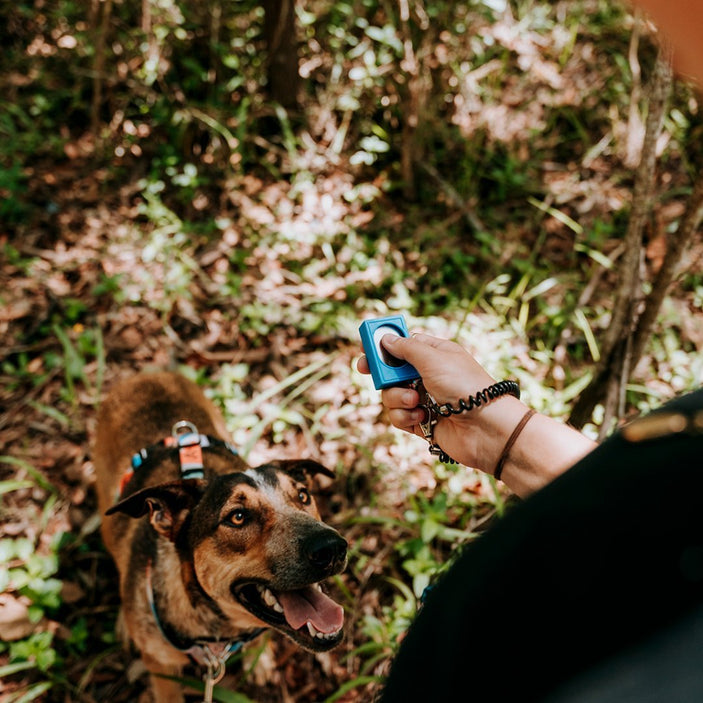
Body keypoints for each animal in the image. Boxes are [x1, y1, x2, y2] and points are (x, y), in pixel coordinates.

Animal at [93, 372, 350, 700]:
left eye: (303, 495)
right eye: (237, 517)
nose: (332, 548)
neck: (221, 633)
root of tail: (146, 374)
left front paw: (259, 661)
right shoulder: (163, 670)